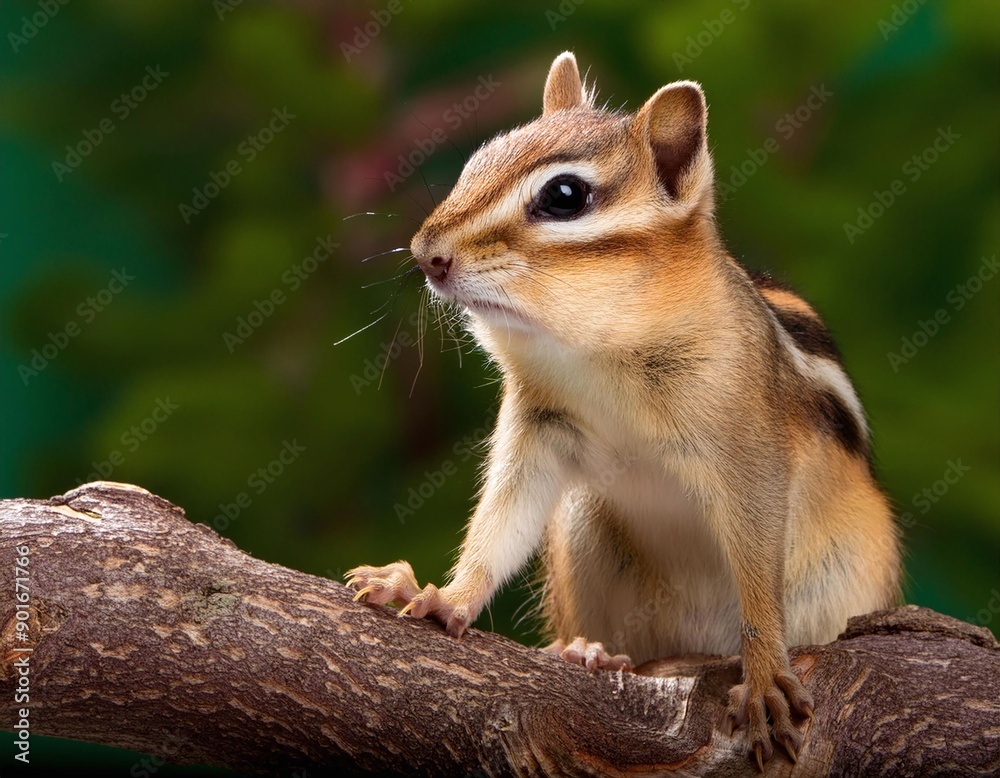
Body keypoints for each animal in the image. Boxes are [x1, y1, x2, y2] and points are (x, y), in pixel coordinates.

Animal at [347, 52, 902, 768]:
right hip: (582, 527)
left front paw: (763, 678)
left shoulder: (748, 448)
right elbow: (502, 523)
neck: (594, 350)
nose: (425, 254)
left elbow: (758, 573)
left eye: (564, 195)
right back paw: (589, 651)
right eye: (474, 163)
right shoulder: (537, 429)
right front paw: (440, 596)